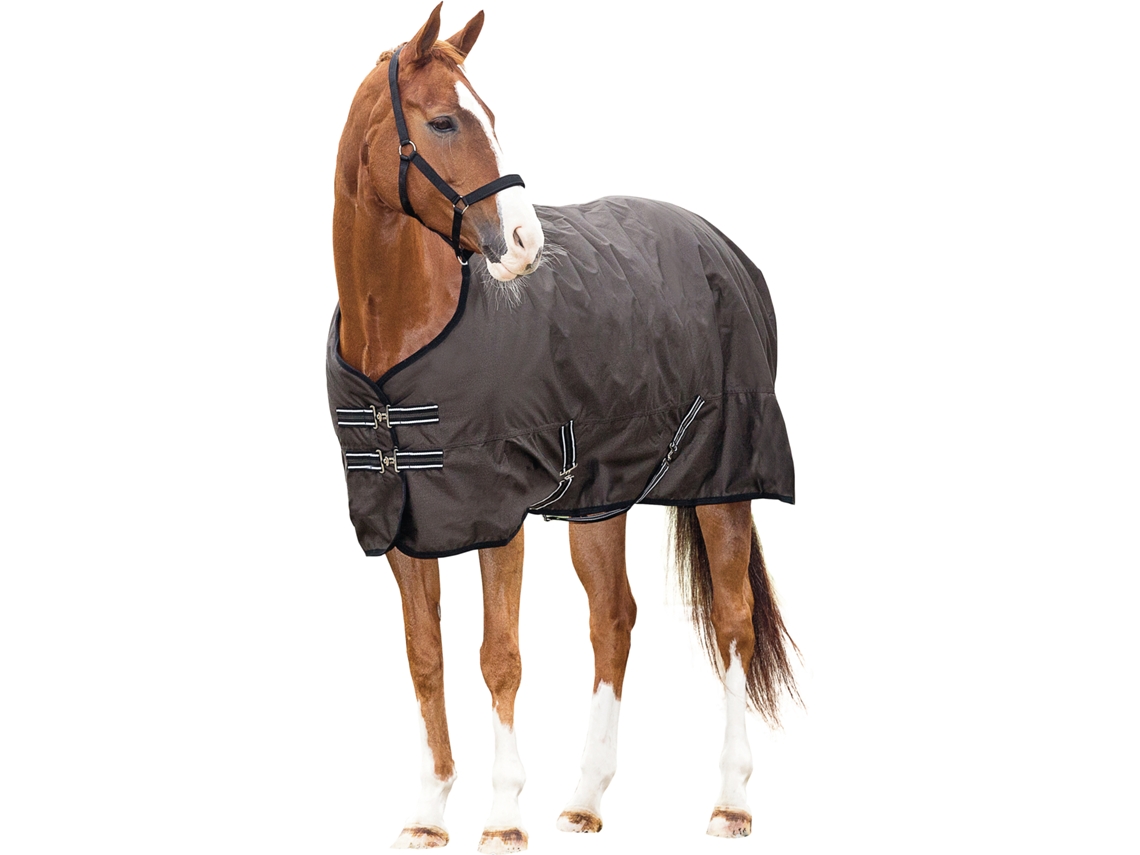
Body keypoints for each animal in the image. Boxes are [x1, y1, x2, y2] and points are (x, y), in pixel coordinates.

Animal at [329, 4, 798, 850]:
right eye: (444, 120)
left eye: (491, 116)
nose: (525, 246)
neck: (399, 346)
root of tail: (719, 243)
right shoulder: (406, 524)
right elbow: (425, 657)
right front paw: (428, 812)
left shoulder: (497, 516)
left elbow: (499, 656)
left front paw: (503, 815)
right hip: (600, 496)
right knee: (614, 618)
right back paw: (585, 799)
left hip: (726, 481)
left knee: (734, 623)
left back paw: (730, 801)